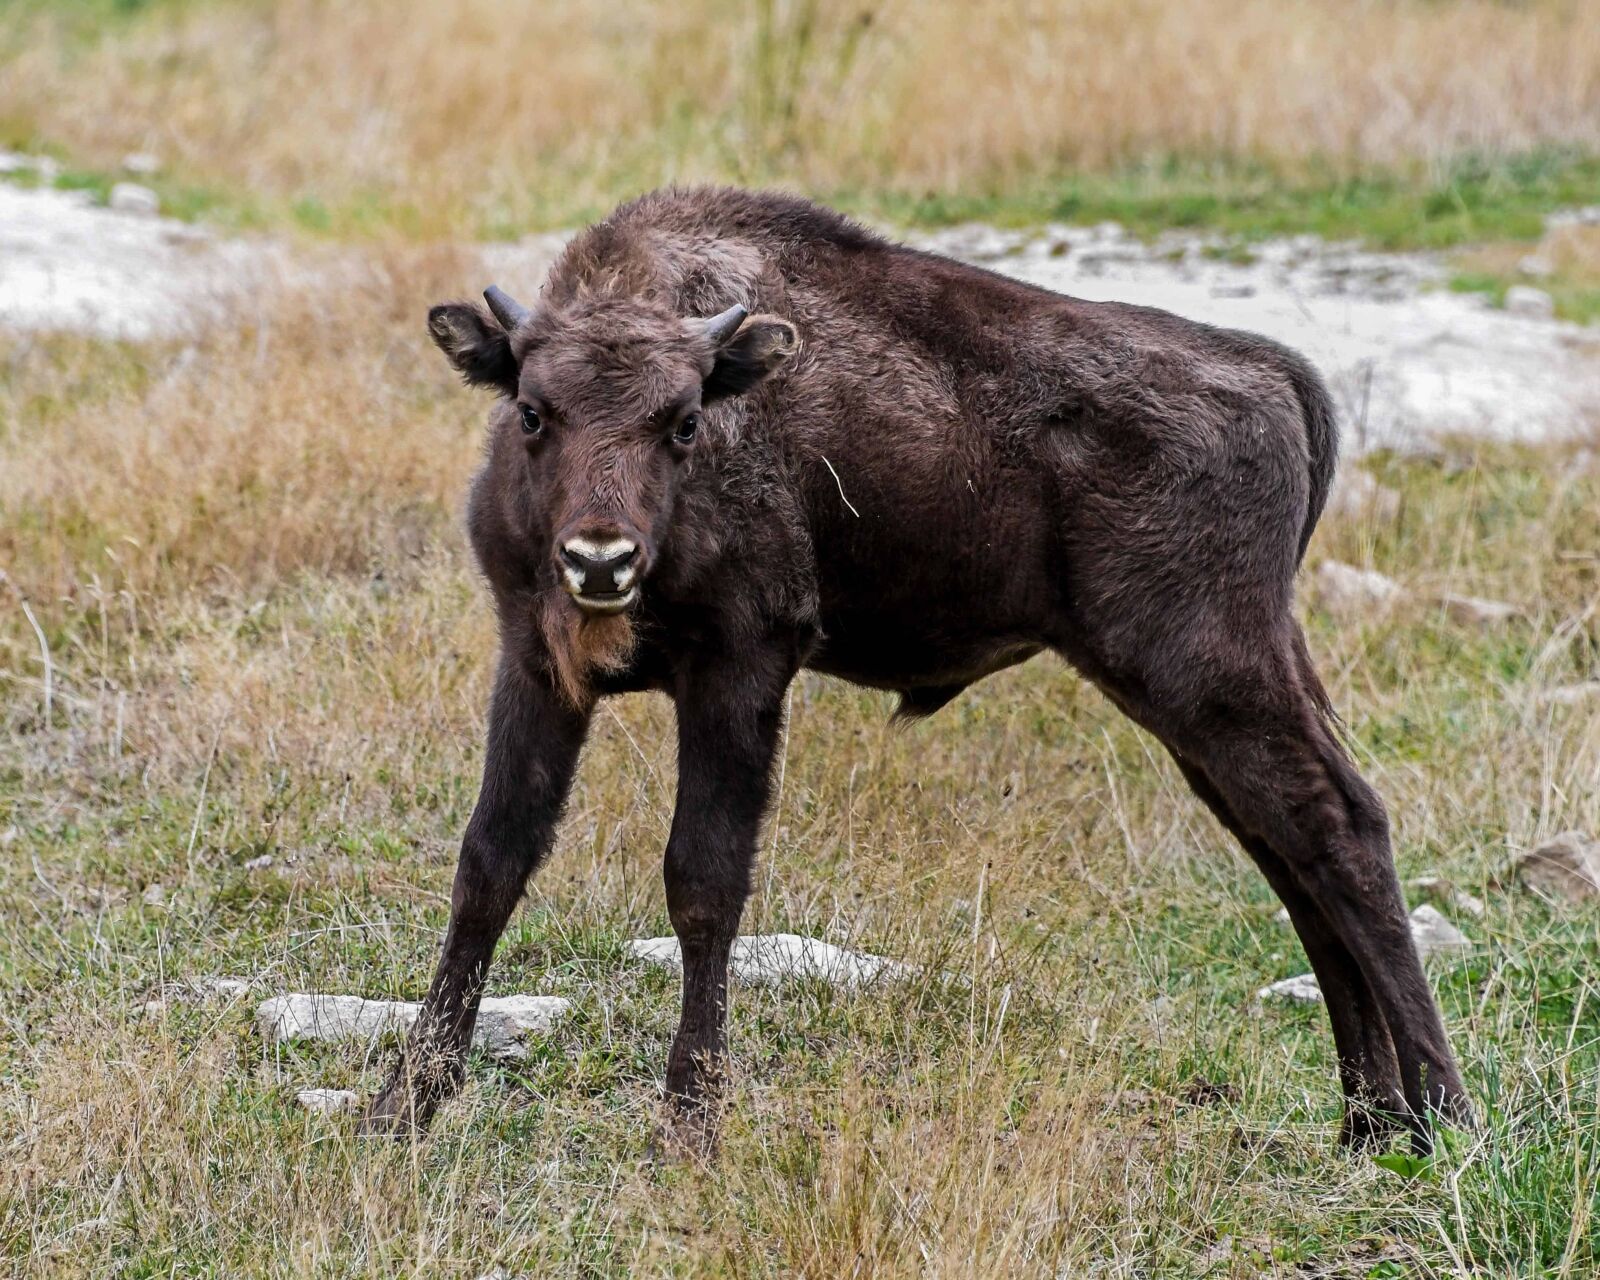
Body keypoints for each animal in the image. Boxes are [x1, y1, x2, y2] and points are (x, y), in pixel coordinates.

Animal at [361, 187, 1470, 1153]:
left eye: (682, 420)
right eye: (533, 410)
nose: (600, 560)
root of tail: (1275, 374)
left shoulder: (740, 673)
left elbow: (702, 882)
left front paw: (689, 1126)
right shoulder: (536, 666)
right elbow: (491, 863)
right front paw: (401, 1108)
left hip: (1216, 677)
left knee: (1339, 828)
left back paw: (1442, 1119)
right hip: (1192, 700)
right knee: (1291, 851)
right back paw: (1370, 1121)